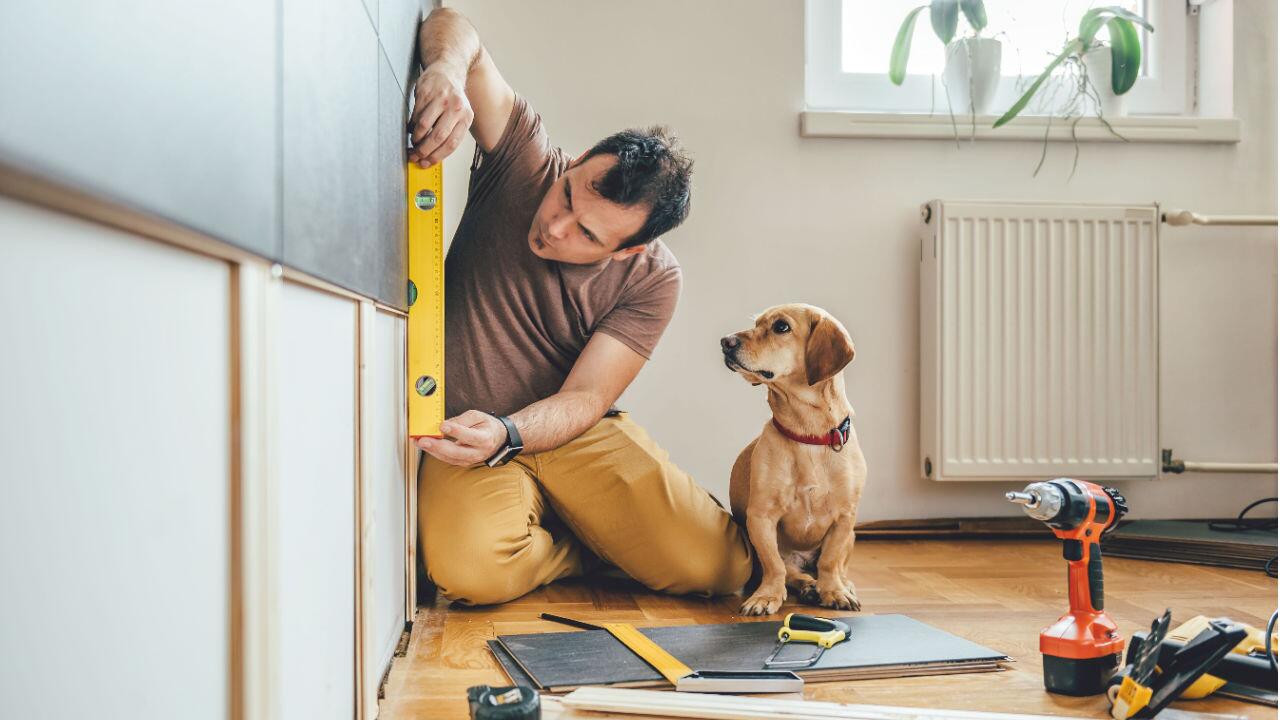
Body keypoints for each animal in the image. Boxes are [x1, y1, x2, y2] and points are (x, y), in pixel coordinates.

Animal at [727, 299, 865, 614]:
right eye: (756, 324)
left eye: (781, 327)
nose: (725, 342)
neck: (808, 435)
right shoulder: (761, 517)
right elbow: (774, 566)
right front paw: (767, 596)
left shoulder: (845, 519)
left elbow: (830, 561)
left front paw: (834, 592)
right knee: (793, 572)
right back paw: (808, 587)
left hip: (851, 536)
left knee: (836, 567)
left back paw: (838, 586)